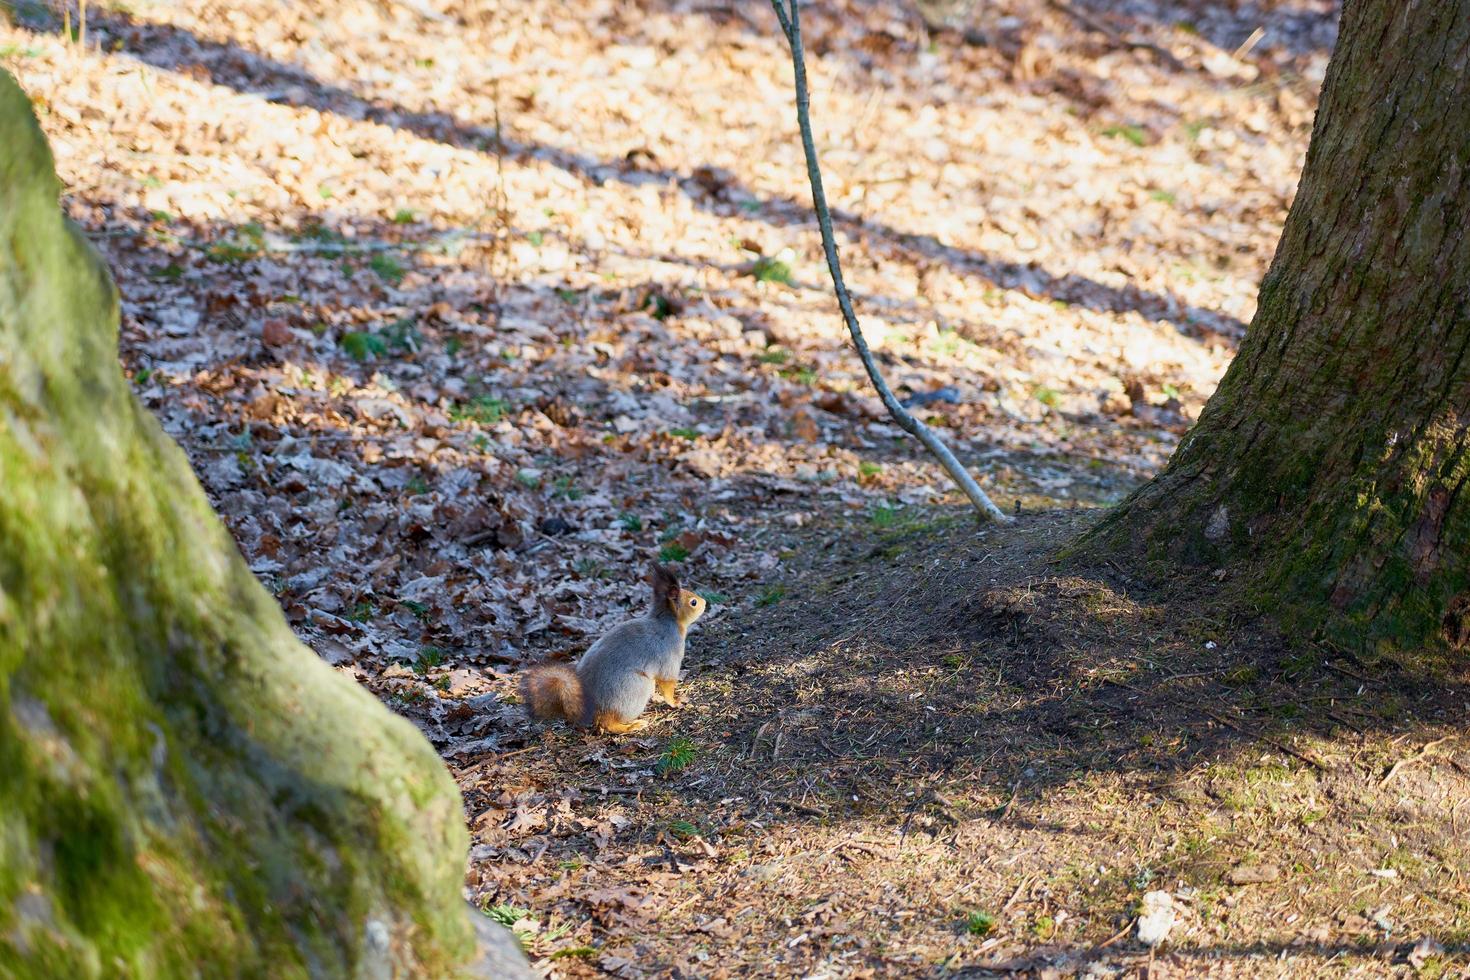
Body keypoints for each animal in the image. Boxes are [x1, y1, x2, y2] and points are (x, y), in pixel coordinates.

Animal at [523, 564, 705, 731]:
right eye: (693, 602)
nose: (705, 602)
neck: (667, 622)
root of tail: (591, 708)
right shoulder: (669, 652)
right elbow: (667, 683)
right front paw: (675, 702)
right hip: (635, 688)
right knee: (609, 723)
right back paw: (631, 726)